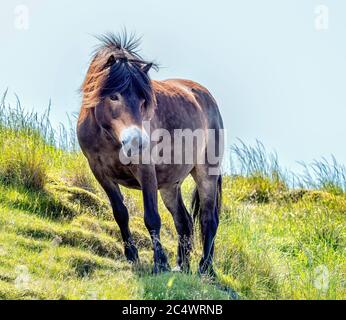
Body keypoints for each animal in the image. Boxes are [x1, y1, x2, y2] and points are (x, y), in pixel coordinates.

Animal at [77, 33, 224, 276]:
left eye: (143, 100)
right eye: (114, 96)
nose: (137, 142)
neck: (108, 137)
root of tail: (205, 96)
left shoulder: (145, 170)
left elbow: (152, 218)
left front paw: (160, 263)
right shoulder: (100, 171)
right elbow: (120, 212)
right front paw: (132, 255)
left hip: (206, 173)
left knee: (208, 219)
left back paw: (206, 269)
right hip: (170, 185)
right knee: (184, 221)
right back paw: (181, 266)